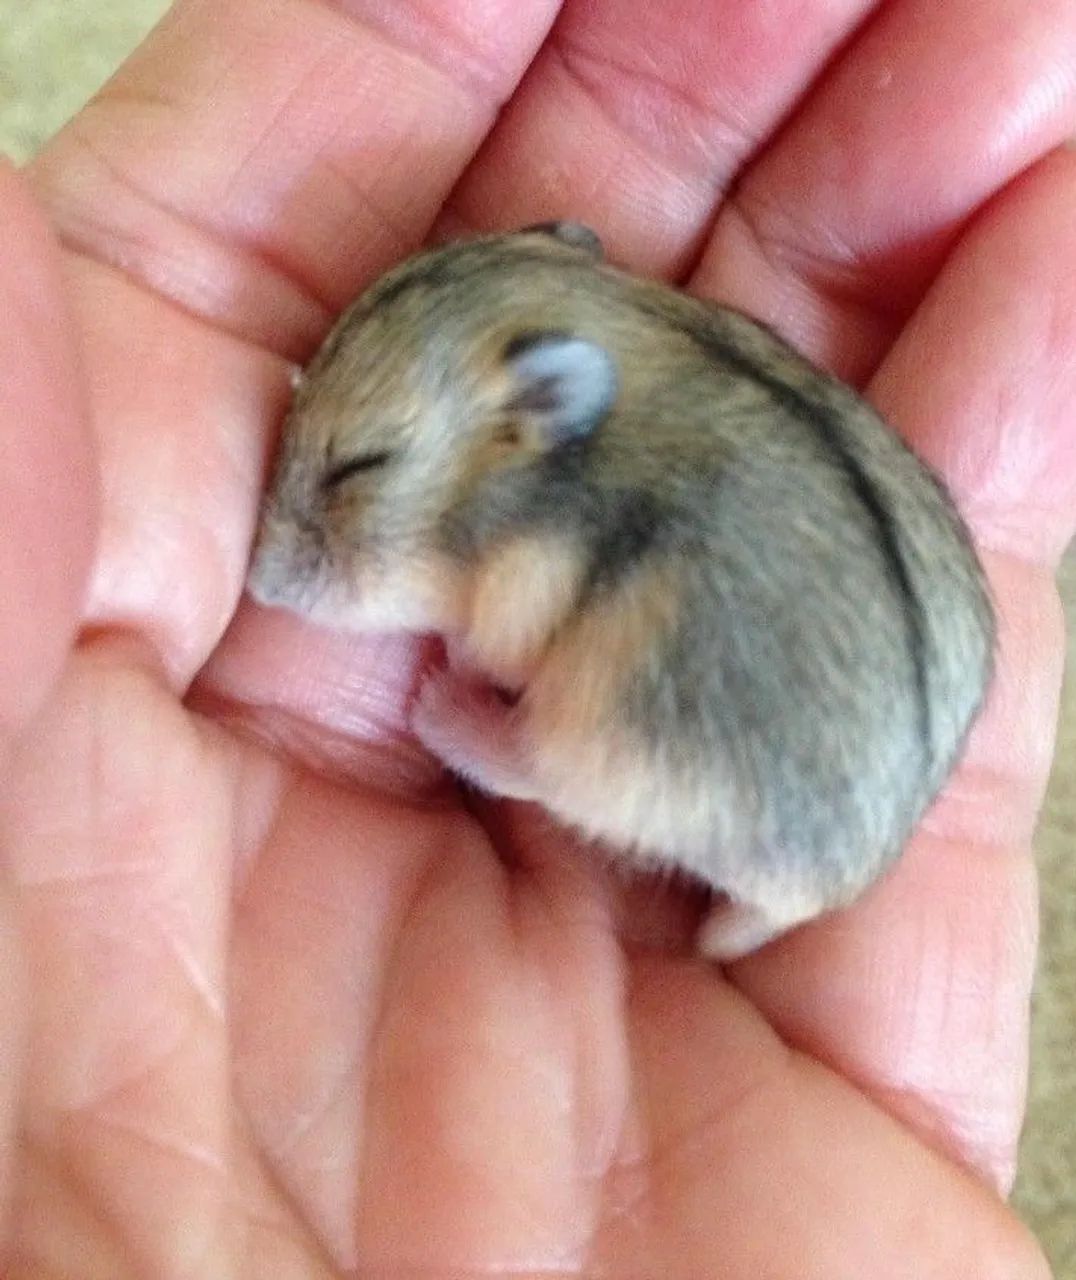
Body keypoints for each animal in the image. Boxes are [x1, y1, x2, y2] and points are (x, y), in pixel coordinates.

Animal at [248, 222, 994, 960]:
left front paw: (452, 657)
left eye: (359, 465)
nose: (256, 584)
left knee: (532, 769)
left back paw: (443, 707)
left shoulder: (522, 593)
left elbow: (491, 652)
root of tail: (824, 894)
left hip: (603, 732)